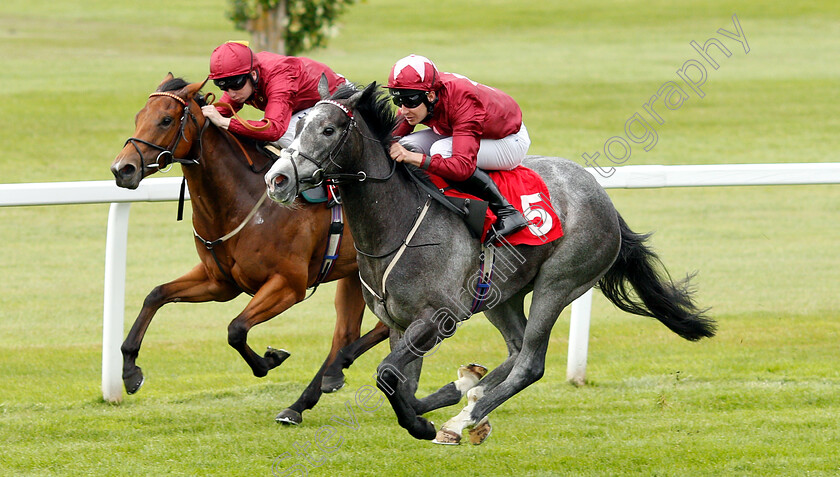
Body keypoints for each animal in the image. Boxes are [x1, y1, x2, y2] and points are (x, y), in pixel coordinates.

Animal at [109, 74, 394, 424]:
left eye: (166, 120)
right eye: (138, 116)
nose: (122, 169)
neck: (241, 201)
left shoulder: (288, 285)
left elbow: (236, 329)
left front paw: (270, 359)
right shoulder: (219, 282)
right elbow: (156, 294)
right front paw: (130, 371)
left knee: (385, 325)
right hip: (356, 272)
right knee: (348, 332)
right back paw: (310, 395)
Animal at [262, 82, 716, 442]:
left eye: (328, 129)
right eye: (296, 126)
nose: (277, 179)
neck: (397, 224)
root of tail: (601, 196)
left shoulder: (436, 318)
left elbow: (387, 374)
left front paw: (423, 426)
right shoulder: (400, 324)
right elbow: (400, 384)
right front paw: (447, 395)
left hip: (559, 282)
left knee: (530, 362)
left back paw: (463, 418)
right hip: (499, 294)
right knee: (515, 347)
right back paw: (467, 396)